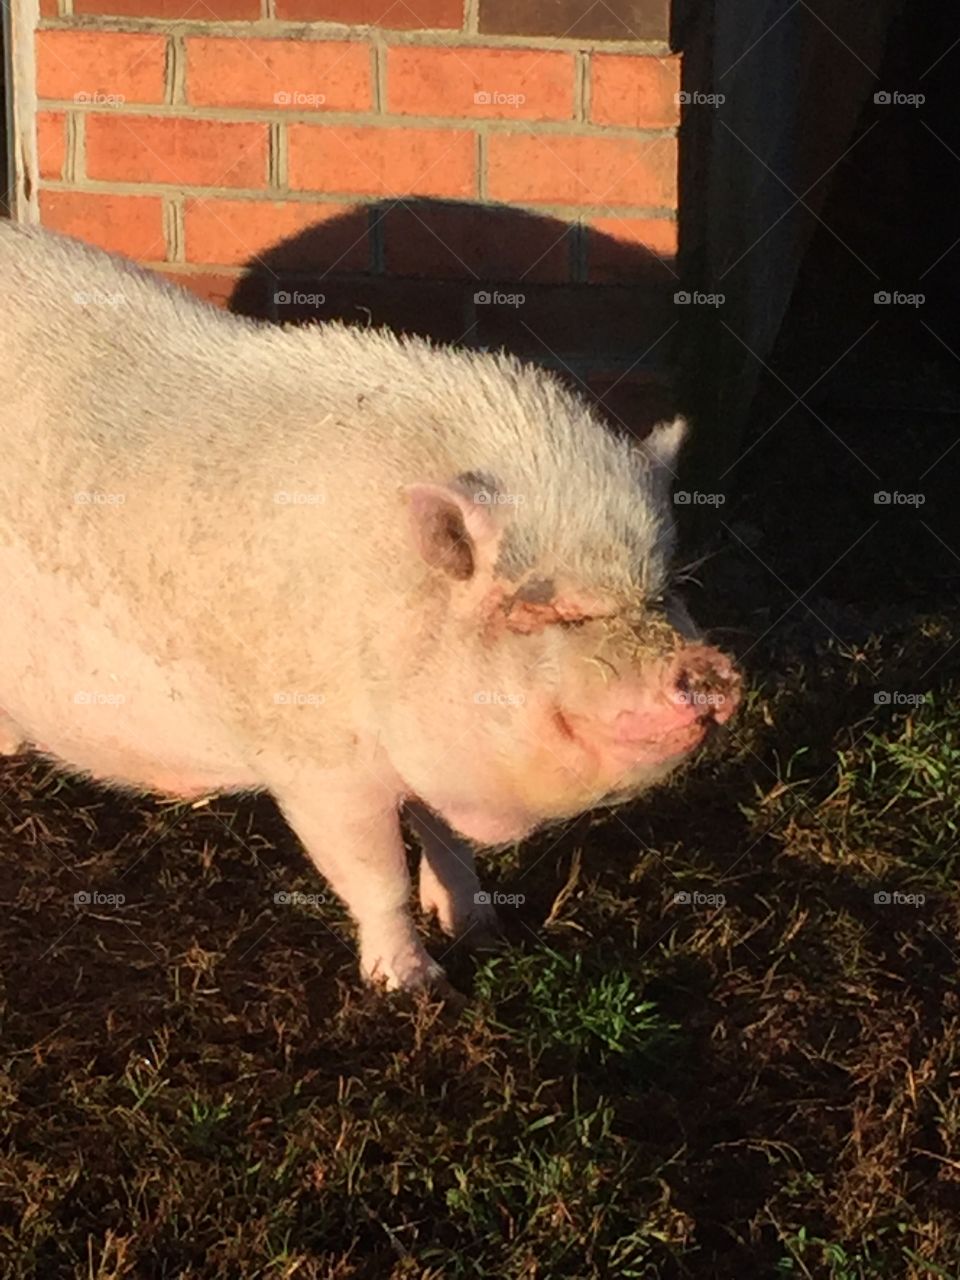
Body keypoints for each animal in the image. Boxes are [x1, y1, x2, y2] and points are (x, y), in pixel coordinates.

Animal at [0, 221, 740, 991]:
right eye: (555, 611)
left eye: (661, 590)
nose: (710, 669)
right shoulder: (320, 764)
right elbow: (376, 874)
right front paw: (415, 987)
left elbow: (448, 845)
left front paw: (481, 933)